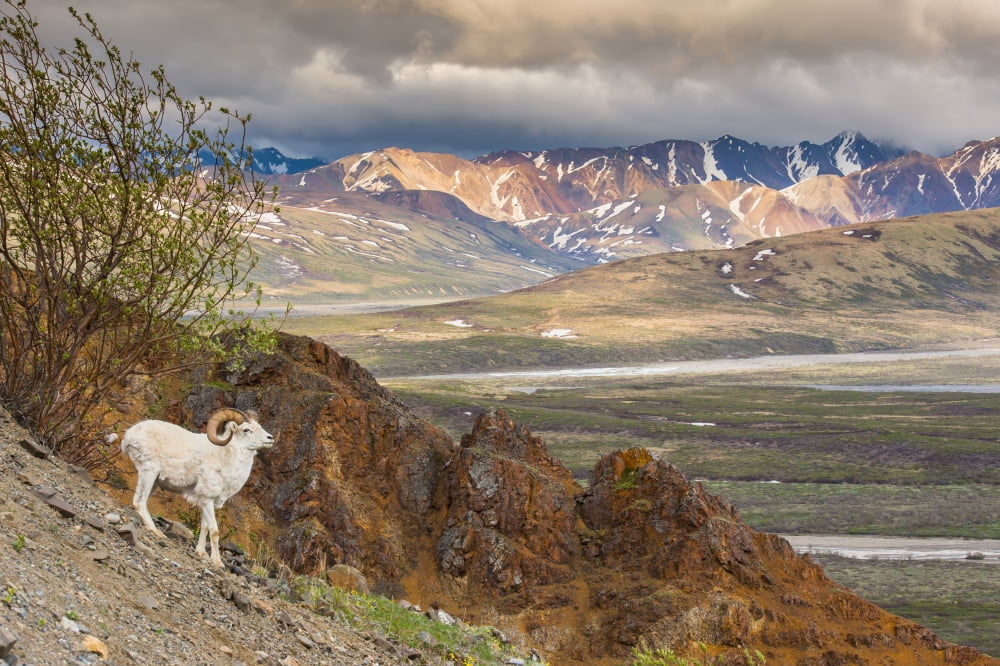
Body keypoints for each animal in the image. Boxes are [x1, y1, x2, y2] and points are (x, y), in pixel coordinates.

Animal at [120, 408, 274, 568]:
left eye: (259, 426)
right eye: (246, 430)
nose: (270, 438)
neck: (226, 458)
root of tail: (130, 434)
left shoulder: (207, 501)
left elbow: (205, 527)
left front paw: (201, 553)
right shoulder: (207, 499)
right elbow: (214, 531)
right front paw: (217, 562)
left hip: (155, 482)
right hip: (149, 472)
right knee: (140, 501)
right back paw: (157, 532)